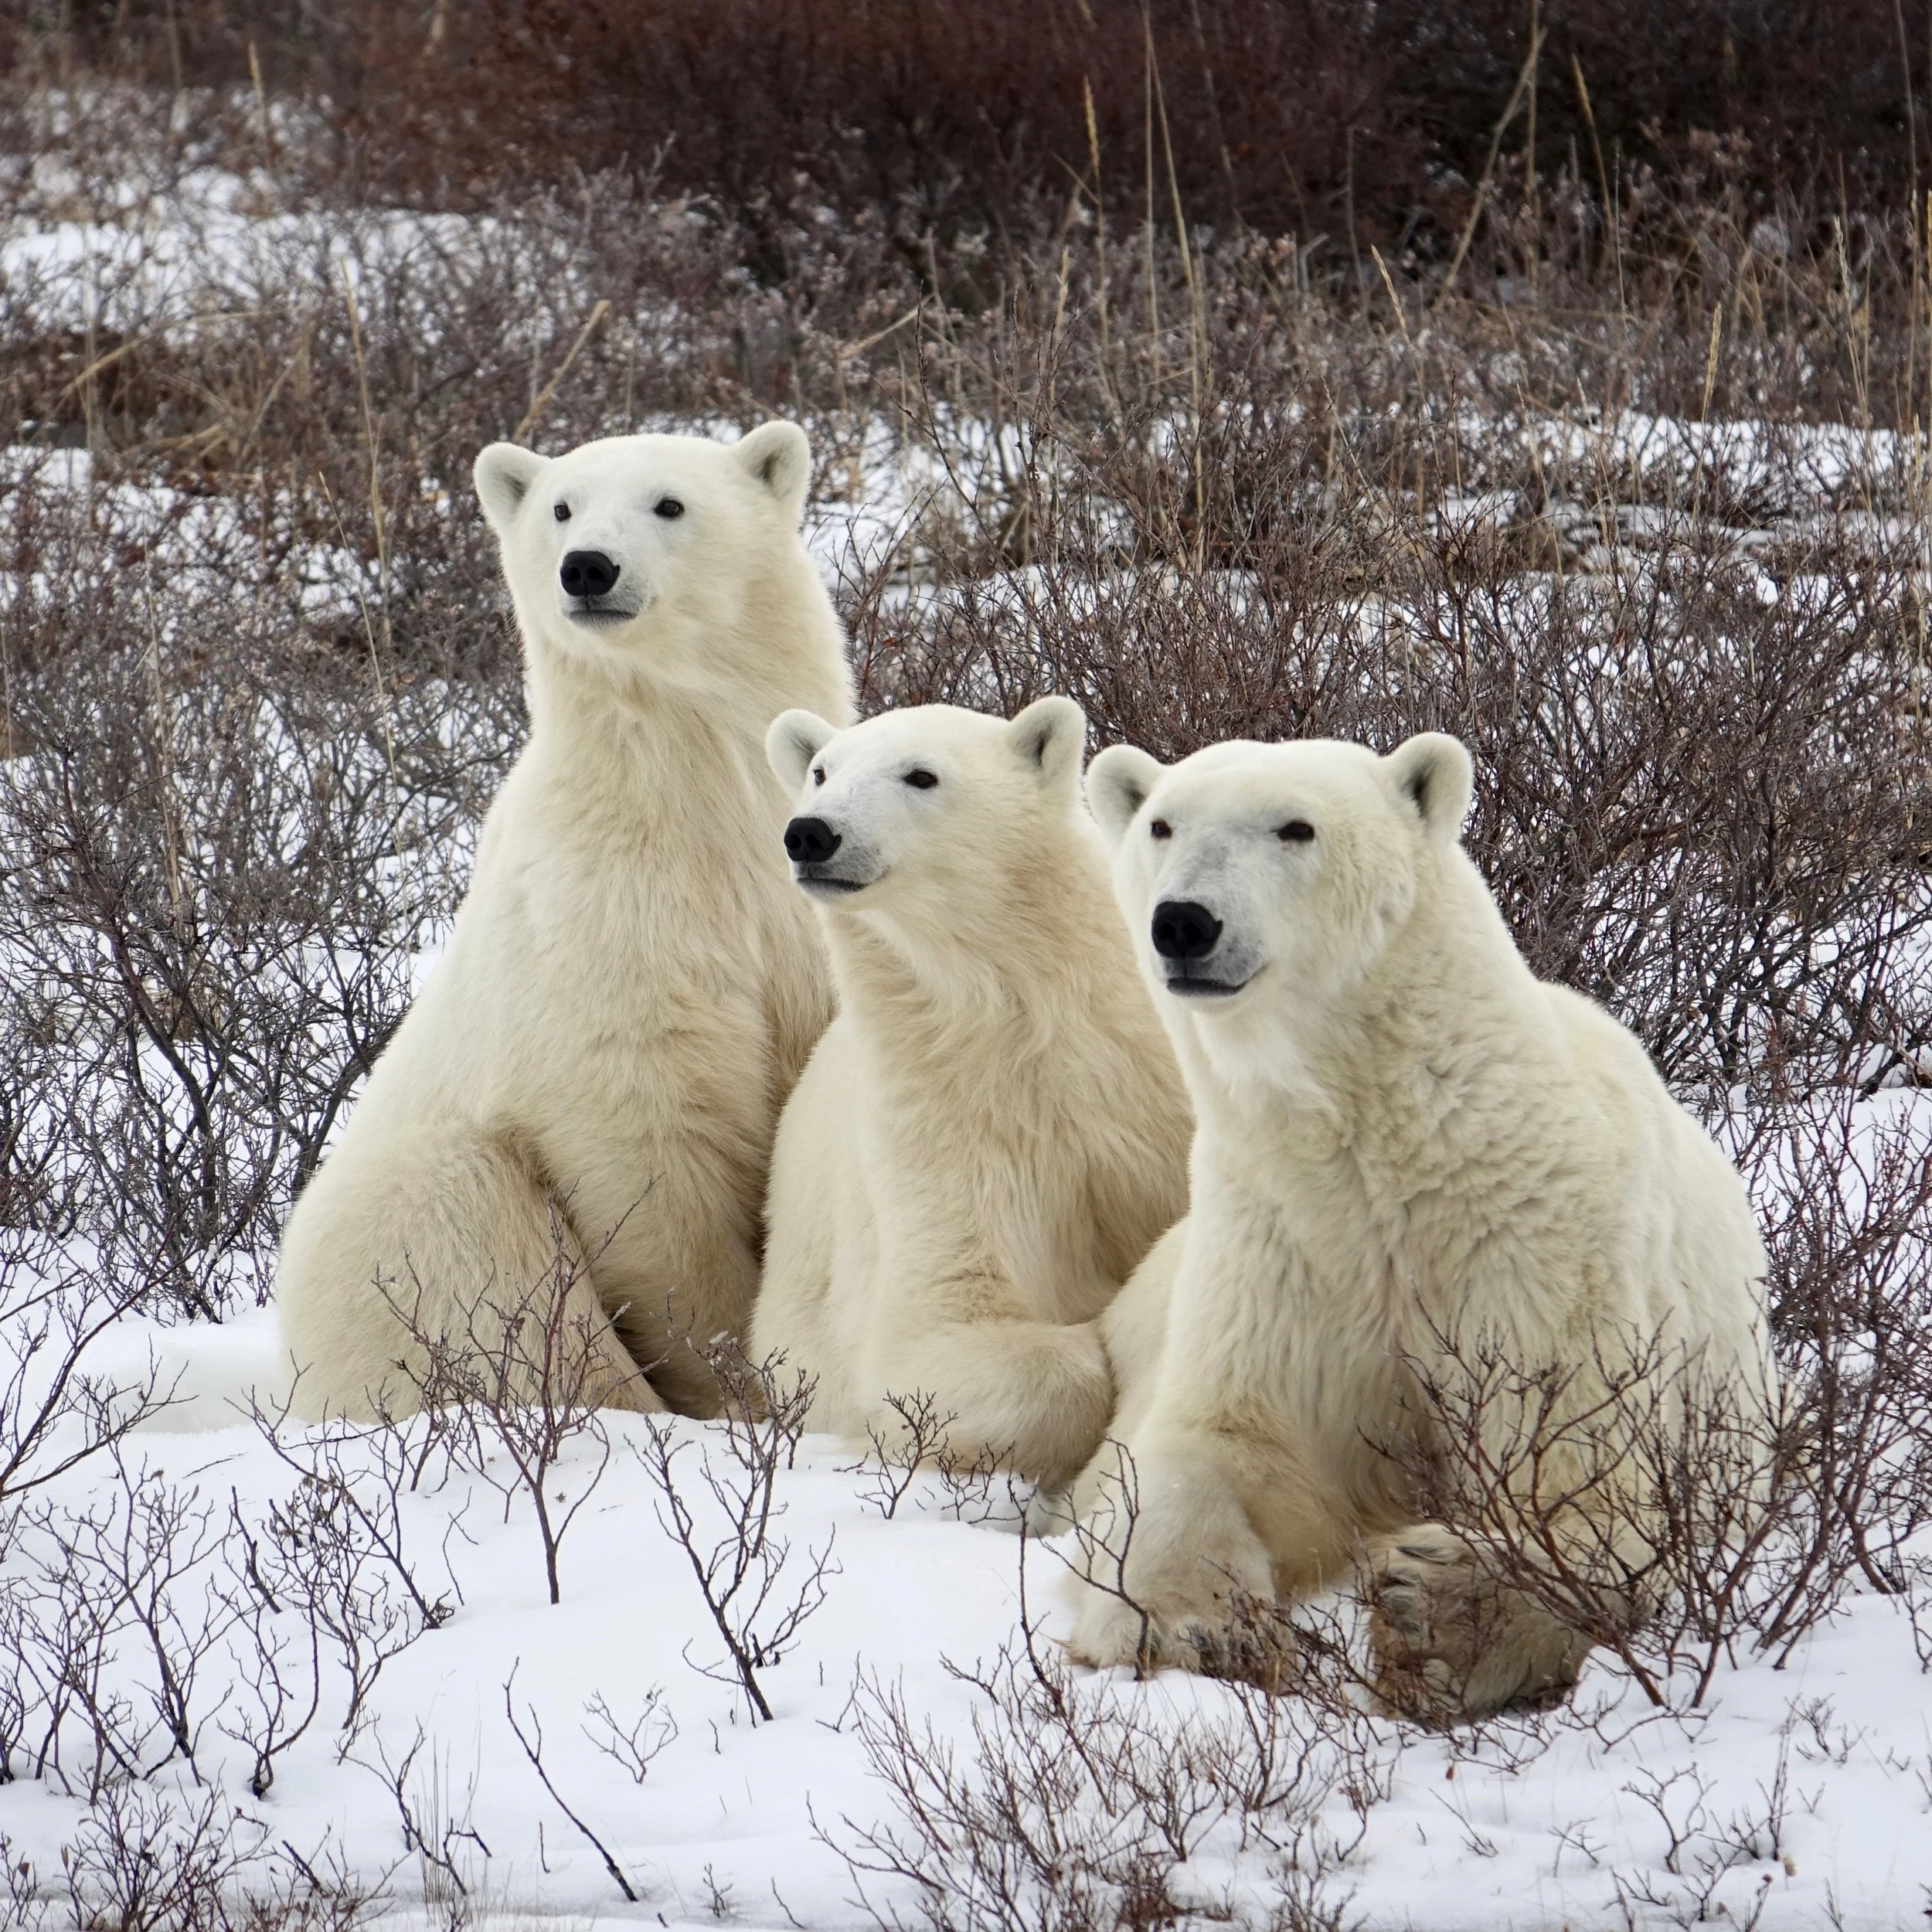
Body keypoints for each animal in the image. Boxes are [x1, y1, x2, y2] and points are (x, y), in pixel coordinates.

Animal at [276, 423, 855, 1421]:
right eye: (560, 506)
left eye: (669, 502)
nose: (587, 566)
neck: (700, 803)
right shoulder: (598, 919)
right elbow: (652, 1149)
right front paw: (738, 1390)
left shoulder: (798, 920)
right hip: (397, 1238)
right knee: (465, 1223)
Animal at [750, 697, 1192, 1487]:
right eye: (821, 771)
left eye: (921, 775)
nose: (811, 833)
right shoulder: (942, 1119)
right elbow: (942, 1335)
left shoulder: (1151, 1097)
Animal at [1061, 729, 1773, 1719]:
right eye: (1162, 824)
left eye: (1295, 826)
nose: (1184, 923)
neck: (1391, 1152)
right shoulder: (1278, 1244)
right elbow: (1215, 1446)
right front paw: (1184, 1621)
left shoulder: (1541, 1255)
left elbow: (1591, 1484)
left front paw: (1437, 1610)